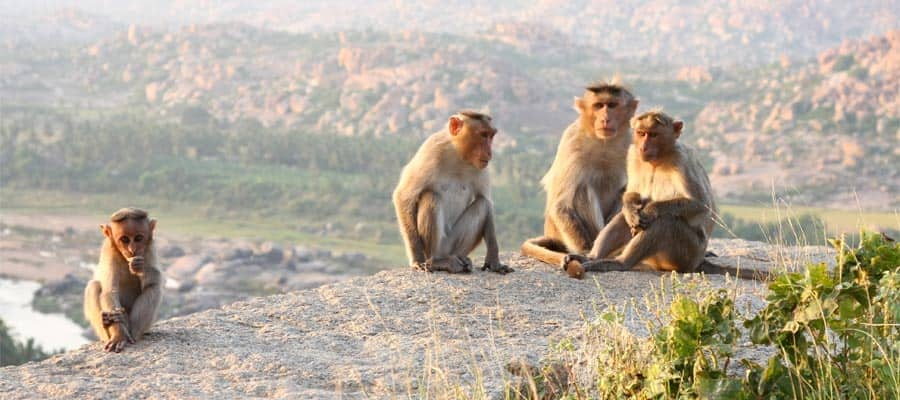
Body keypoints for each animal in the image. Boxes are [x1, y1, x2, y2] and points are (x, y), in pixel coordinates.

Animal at [84, 208, 163, 352]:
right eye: (124, 239)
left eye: (138, 238)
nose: (132, 250)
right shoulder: (109, 251)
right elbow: (109, 292)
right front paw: (118, 335)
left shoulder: (150, 248)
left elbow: (155, 280)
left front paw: (141, 267)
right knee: (94, 286)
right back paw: (106, 323)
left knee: (154, 288)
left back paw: (131, 331)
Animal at [394, 109, 512, 274]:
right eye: (483, 135)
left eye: (491, 135)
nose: (490, 152)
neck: (459, 155)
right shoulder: (431, 149)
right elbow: (404, 196)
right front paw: (417, 259)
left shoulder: (482, 166)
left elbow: (486, 200)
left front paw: (494, 259)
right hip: (436, 246)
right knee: (431, 197)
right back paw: (437, 262)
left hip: (451, 246)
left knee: (481, 204)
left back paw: (461, 260)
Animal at [520, 80, 640, 270]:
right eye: (599, 106)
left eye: (612, 105)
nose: (605, 118)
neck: (604, 142)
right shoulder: (572, 141)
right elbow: (560, 205)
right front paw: (584, 253)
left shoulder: (633, 142)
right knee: (580, 190)